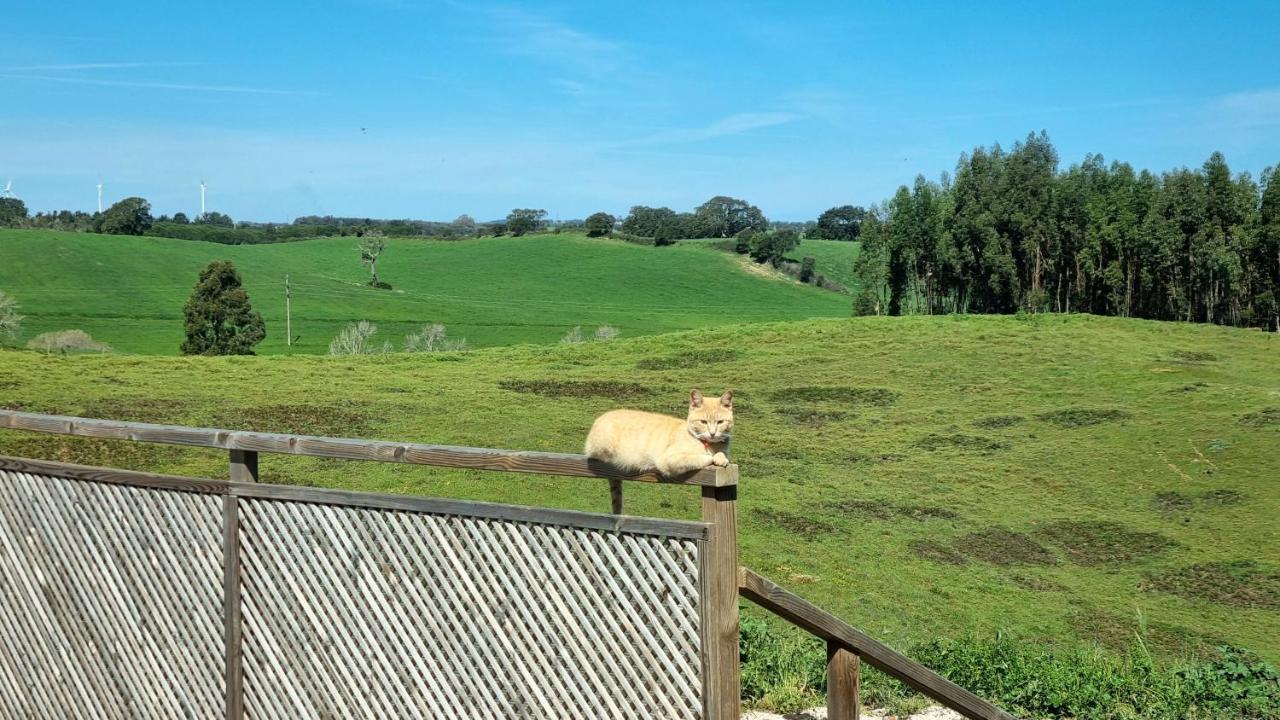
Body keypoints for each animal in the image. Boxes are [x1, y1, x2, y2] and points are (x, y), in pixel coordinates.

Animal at [586, 386, 737, 476]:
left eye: (720, 422)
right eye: (703, 422)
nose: (712, 433)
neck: (708, 444)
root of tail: (599, 418)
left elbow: (722, 455)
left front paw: (721, 458)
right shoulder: (668, 459)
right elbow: (703, 457)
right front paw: (713, 457)